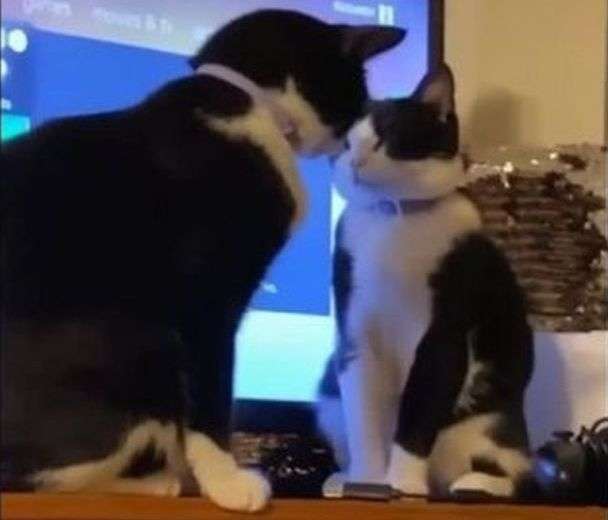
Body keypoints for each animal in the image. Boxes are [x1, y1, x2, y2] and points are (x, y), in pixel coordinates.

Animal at [0, 9, 405, 511]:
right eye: (360, 93)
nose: (354, 142)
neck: (250, 102)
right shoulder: (208, 299)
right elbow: (212, 393)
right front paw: (226, 482)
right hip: (143, 347)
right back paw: (154, 482)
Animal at [317, 64, 536, 500]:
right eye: (346, 141)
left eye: (387, 135)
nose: (356, 160)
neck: (395, 220)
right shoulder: (355, 331)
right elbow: (363, 416)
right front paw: (366, 481)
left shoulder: (444, 331)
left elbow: (420, 407)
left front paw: (402, 483)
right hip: (328, 397)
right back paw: (340, 477)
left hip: (490, 421)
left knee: (514, 472)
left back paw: (472, 483)